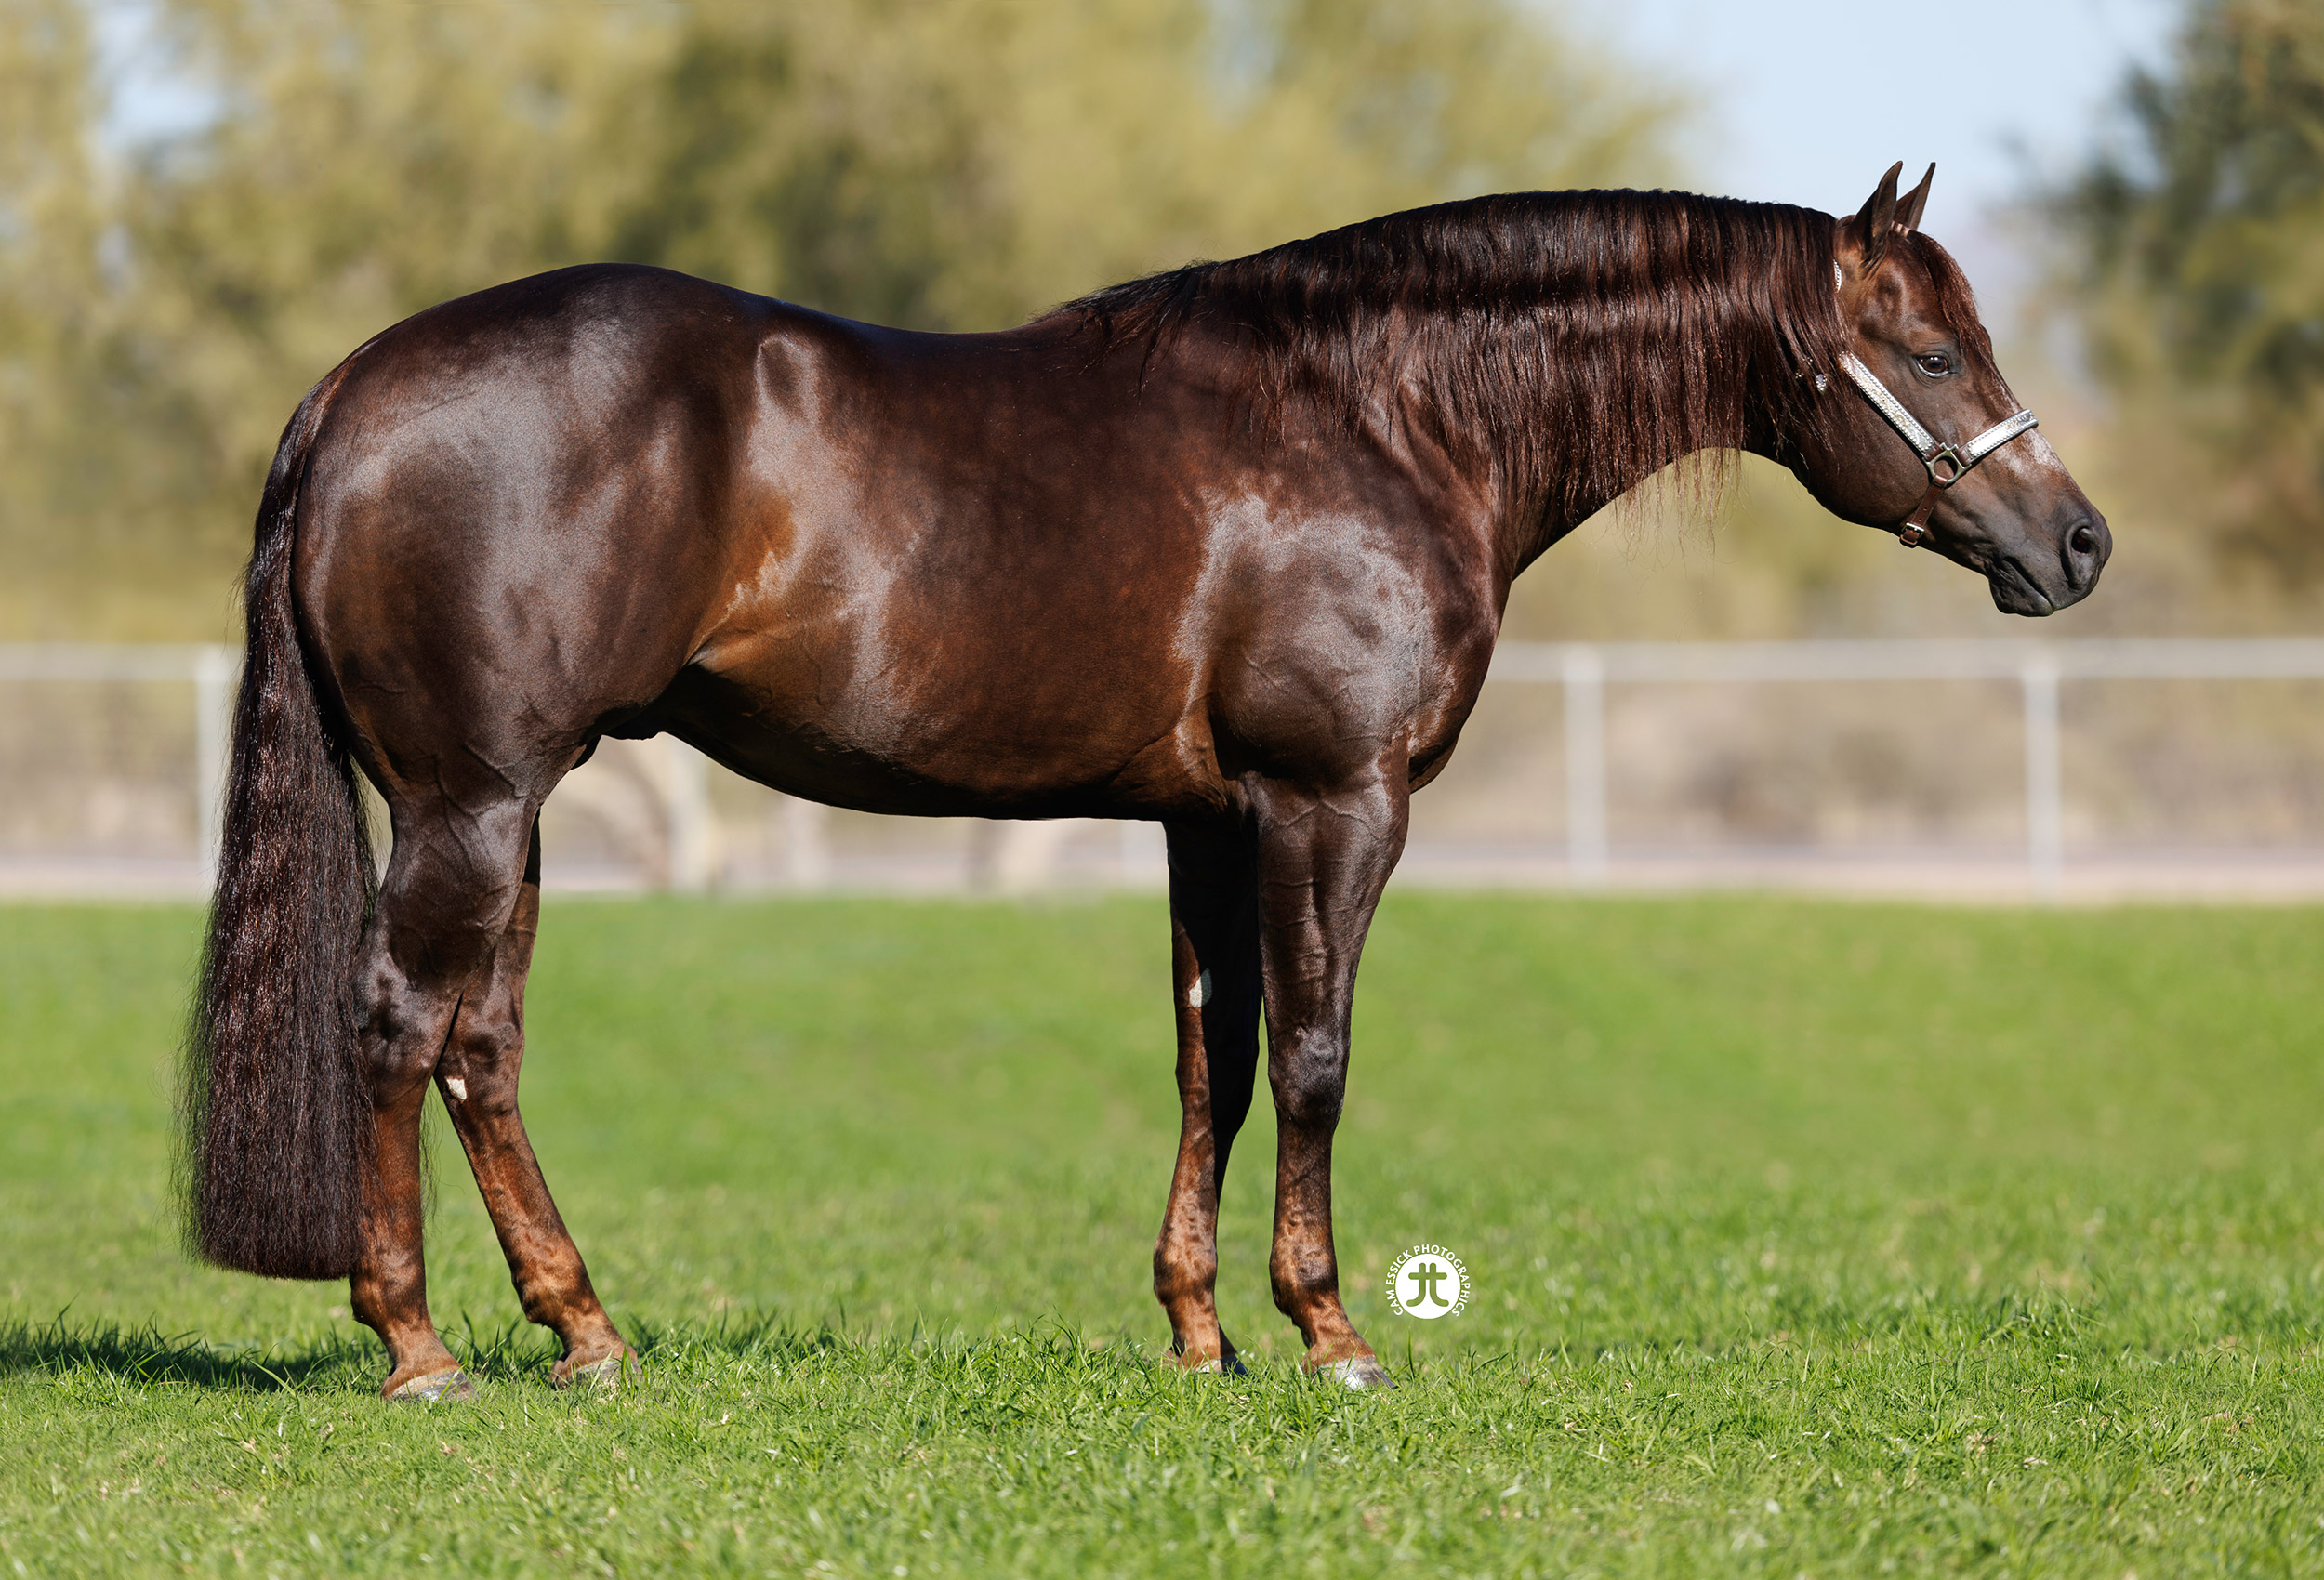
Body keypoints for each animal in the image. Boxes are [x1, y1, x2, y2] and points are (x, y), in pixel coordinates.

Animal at [182, 162, 2108, 1399]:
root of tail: (352, 388)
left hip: (509, 812)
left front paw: (1200, 1333)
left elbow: (1216, 1066)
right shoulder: (1335, 803)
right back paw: (420, 1349)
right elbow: (1320, 1061)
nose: (2077, 544)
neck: (1381, 422)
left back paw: (584, 1333)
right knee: (398, 1030)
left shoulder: (1208, 823)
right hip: (471, 804)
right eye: (1934, 354)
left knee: (481, 1050)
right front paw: (1331, 1335)